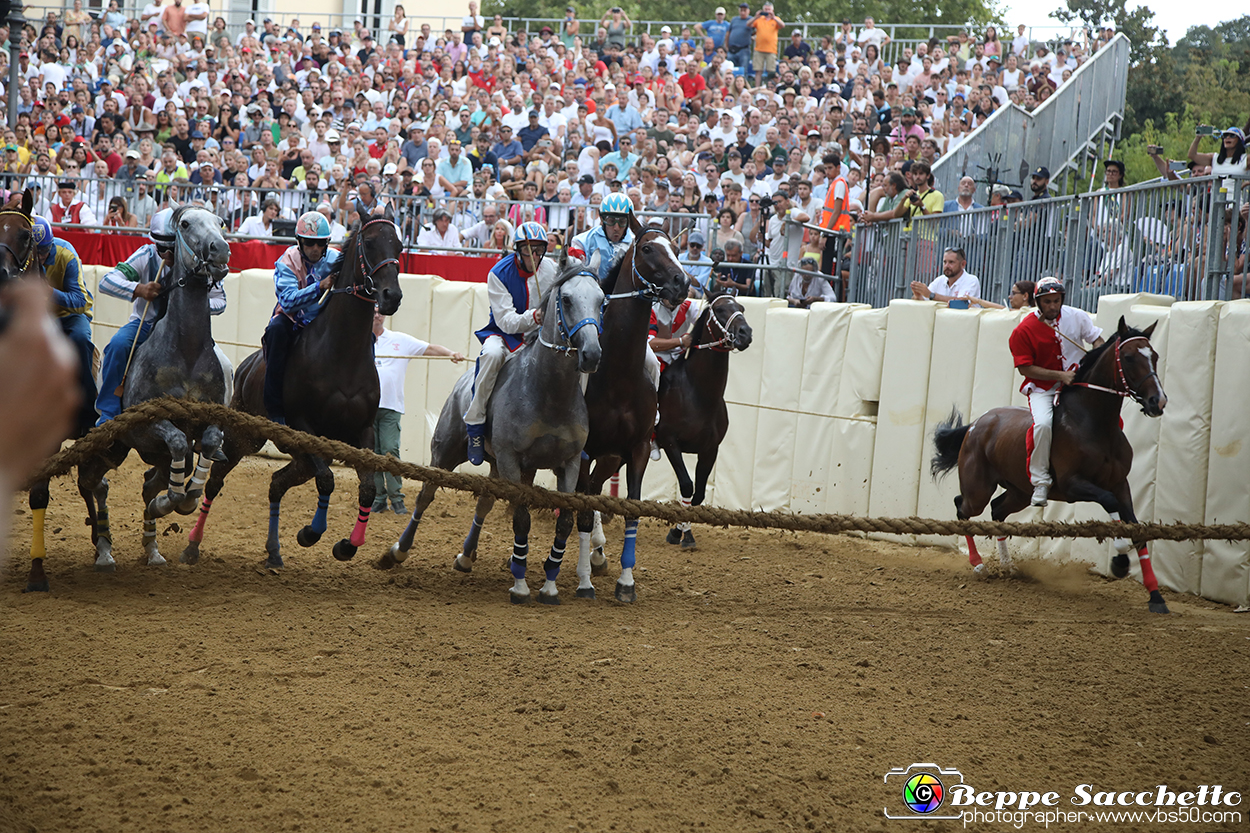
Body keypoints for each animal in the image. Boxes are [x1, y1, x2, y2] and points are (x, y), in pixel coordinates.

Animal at [78, 206, 235, 567]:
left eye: (221, 222)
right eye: (186, 224)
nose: (220, 249)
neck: (186, 350)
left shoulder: (209, 421)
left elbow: (208, 444)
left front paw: (183, 498)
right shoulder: (146, 425)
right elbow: (177, 440)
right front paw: (172, 501)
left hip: (147, 454)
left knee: (146, 483)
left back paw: (151, 548)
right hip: (112, 445)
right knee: (95, 483)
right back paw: (103, 549)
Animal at [181, 215, 402, 565]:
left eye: (399, 246)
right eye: (369, 243)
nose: (391, 295)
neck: (342, 353)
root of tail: (245, 368)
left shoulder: (363, 431)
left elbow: (366, 488)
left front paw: (347, 544)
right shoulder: (303, 426)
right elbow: (327, 481)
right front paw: (311, 533)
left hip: (299, 455)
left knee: (277, 484)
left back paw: (273, 551)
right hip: (243, 438)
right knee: (216, 481)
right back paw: (192, 545)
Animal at [577, 217, 695, 600]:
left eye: (676, 247)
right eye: (647, 248)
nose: (682, 282)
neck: (617, 374)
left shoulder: (638, 448)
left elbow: (631, 510)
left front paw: (625, 582)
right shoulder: (584, 450)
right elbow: (581, 511)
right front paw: (584, 582)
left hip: (612, 457)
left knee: (595, 490)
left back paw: (598, 554)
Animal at [655, 285, 750, 550]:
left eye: (741, 308)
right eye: (720, 309)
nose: (745, 333)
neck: (698, 395)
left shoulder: (710, 449)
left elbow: (698, 494)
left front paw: (683, 533)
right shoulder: (669, 441)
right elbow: (687, 486)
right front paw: (676, 533)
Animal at [940, 315, 1170, 612]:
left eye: (1154, 355)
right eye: (1129, 357)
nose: (1157, 401)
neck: (1095, 424)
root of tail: (977, 423)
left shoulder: (1121, 484)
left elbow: (1136, 528)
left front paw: (1156, 596)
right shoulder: (1073, 485)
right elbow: (1110, 504)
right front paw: (1119, 558)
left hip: (1019, 492)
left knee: (997, 510)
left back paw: (1007, 565)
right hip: (977, 489)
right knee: (962, 508)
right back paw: (979, 565)